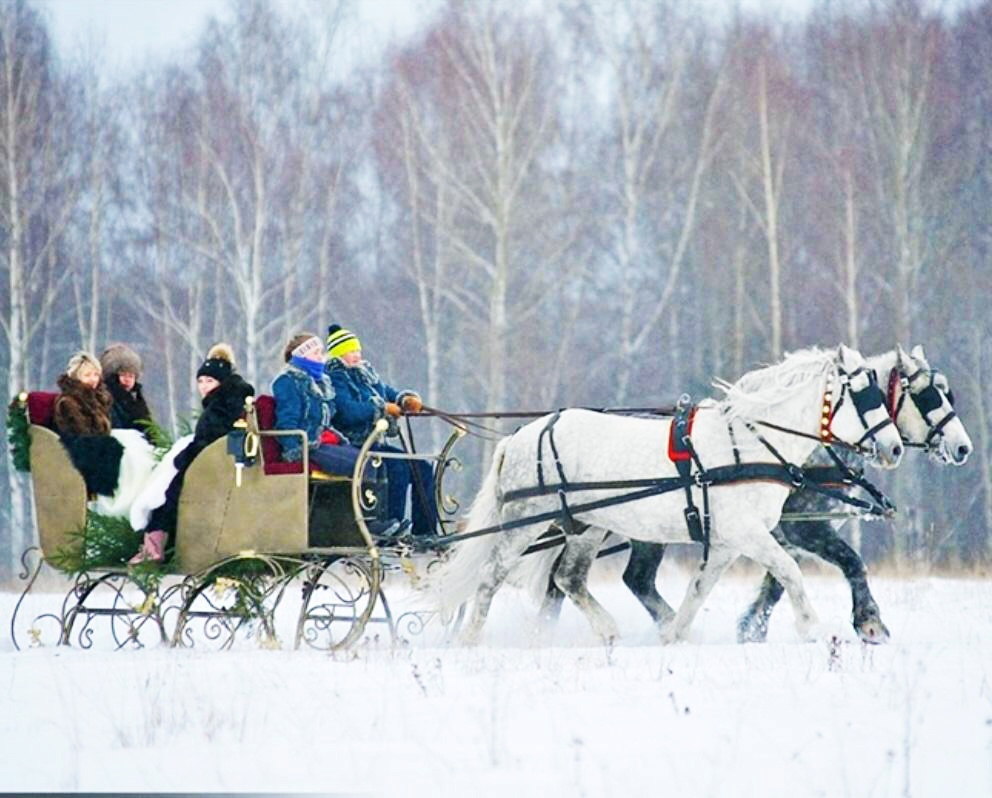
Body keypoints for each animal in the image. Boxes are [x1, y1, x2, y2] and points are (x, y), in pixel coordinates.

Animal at [422, 346, 904, 648]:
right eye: (865, 396)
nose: (895, 448)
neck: (751, 445)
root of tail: (522, 435)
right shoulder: (748, 533)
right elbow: (790, 571)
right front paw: (812, 628)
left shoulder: (726, 542)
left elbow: (699, 588)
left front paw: (675, 635)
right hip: (528, 517)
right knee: (492, 576)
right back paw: (470, 639)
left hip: (586, 526)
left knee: (569, 578)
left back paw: (606, 631)